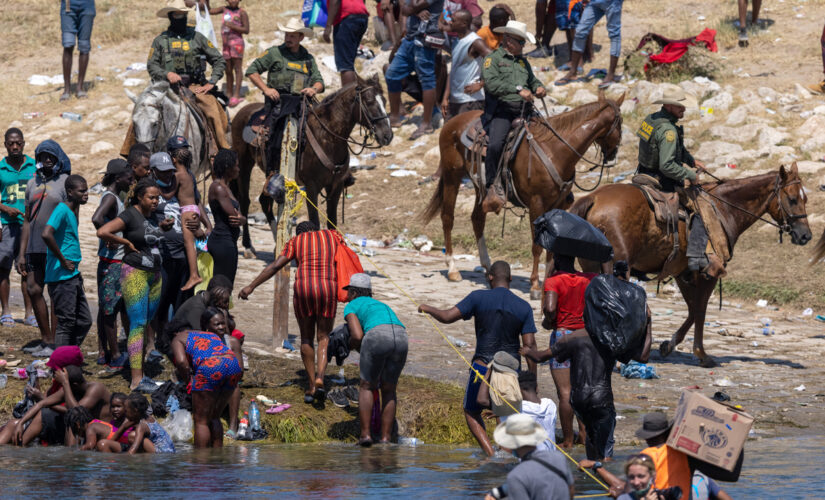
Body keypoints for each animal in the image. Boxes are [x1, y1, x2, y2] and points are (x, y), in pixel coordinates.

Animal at [227, 73, 392, 254]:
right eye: (369, 101)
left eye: (384, 101)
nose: (387, 135)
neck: (328, 137)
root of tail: (243, 111)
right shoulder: (312, 187)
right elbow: (315, 223)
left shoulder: (336, 187)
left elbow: (332, 223)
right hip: (244, 164)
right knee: (245, 201)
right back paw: (248, 245)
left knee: (265, 202)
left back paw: (277, 244)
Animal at [422, 93, 620, 296]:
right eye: (619, 123)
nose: (613, 153)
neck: (555, 150)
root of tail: (451, 122)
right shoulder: (536, 204)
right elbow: (537, 246)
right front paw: (534, 285)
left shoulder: (556, 206)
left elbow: (552, 245)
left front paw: (548, 281)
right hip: (452, 176)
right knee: (447, 218)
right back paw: (453, 269)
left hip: (480, 186)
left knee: (477, 219)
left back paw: (488, 267)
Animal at [568, 164, 812, 368]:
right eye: (792, 199)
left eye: (805, 198)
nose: (805, 235)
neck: (723, 209)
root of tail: (593, 198)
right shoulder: (708, 273)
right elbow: (701, 309)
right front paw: (701, 354)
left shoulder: (682, 272)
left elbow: (693, 308)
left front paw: (669, 345)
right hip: (618, 267)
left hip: (592, 265)